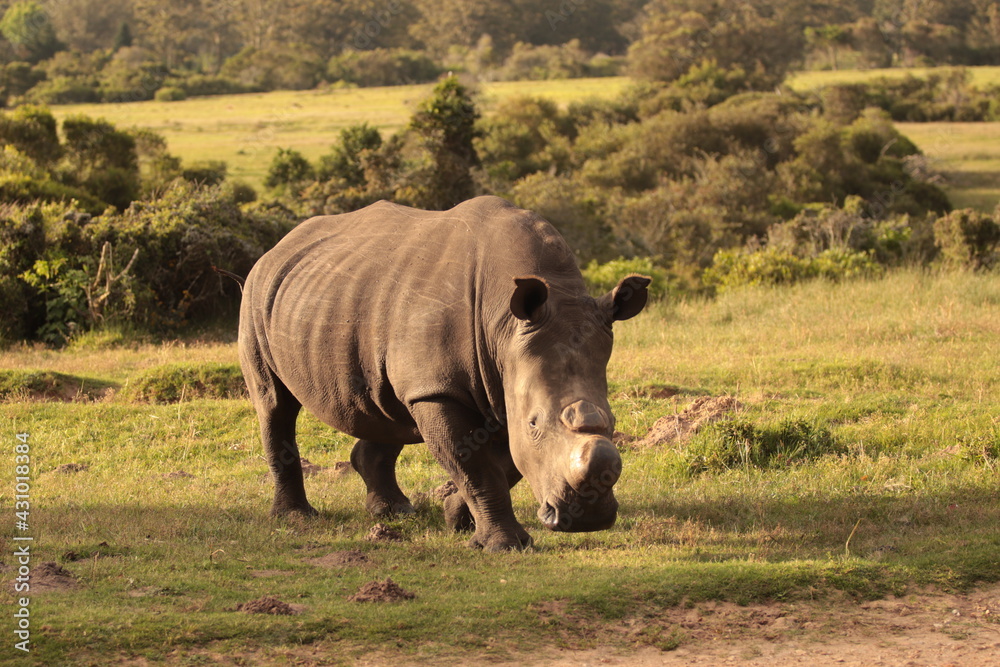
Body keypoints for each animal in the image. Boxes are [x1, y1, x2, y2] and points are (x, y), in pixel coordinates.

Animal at [238, 196, 650, 551]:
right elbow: (477, 466)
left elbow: (503, 465)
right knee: (275, 403)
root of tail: (277, 246)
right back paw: (297, 518)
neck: (504, 326)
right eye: (534, 424)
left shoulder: (500, 378)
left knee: (387, 405)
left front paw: (456, 518)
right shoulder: (440, 388)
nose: (588, 518)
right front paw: (505, 546)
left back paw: (394, 512)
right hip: (256, 294)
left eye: (613, 420)